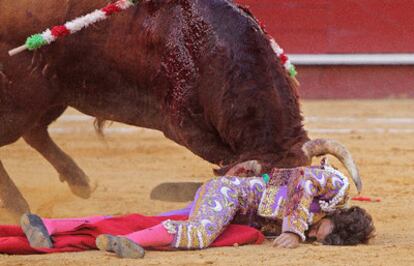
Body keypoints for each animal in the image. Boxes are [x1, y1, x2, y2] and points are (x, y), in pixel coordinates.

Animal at [0, 0, 360, 220]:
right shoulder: (185, 126)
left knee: (36, 132)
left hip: (53, 95)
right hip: (23, 100)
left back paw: (80, 183)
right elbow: (225, 160)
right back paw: (21, 211)